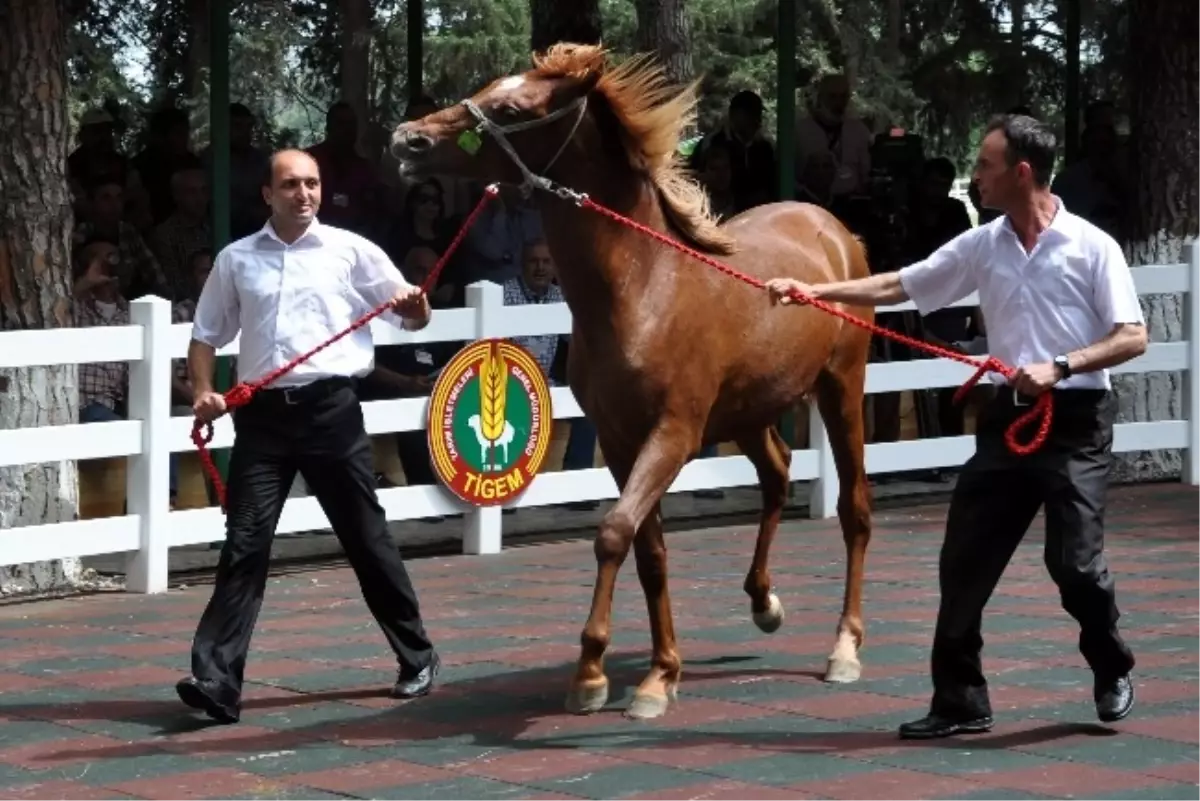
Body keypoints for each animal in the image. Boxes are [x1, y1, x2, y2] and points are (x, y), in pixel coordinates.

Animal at [393, 43, 873, 719]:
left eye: (511, 108)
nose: (407, 139)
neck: (643, 289)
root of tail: (834, 228)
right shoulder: (620, 440)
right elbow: (650, 551)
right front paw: (657, 672)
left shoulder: (673, 434)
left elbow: (614, 532)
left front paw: (595, 672)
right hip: (750, 408)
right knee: (778, 475)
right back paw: (763, 602)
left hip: (840, 386)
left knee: (855, 508)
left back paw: (844, 648)